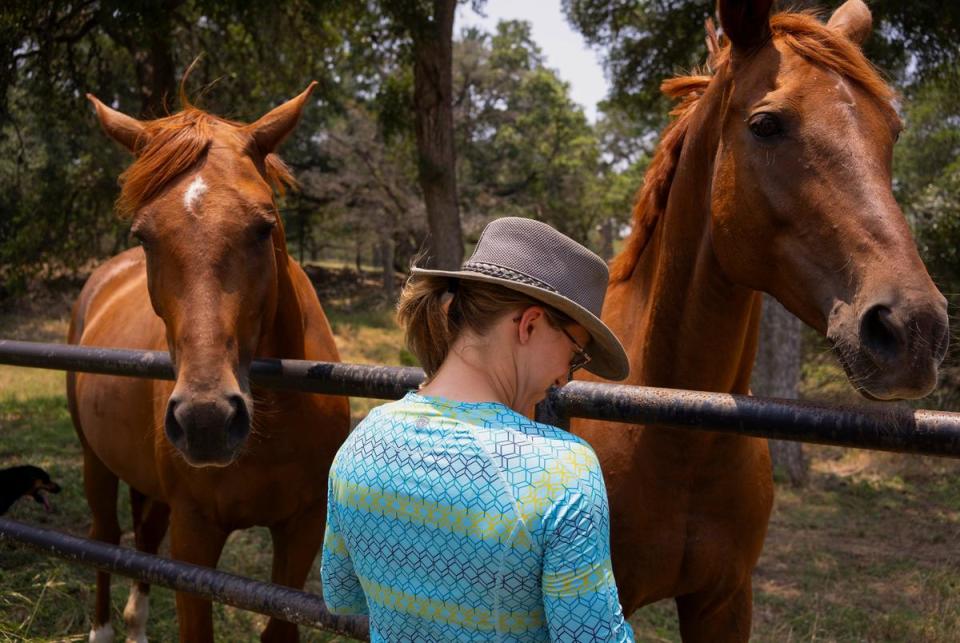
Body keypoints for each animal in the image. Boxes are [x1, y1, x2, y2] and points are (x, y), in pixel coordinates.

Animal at [68, 85, 352, 643]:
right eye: (143, 236)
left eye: (264, 228)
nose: (207, 419)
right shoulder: (195, 532)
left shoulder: (303, 527)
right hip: (95, 461)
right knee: (105, 538)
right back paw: (104, 629)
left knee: (143, 540)